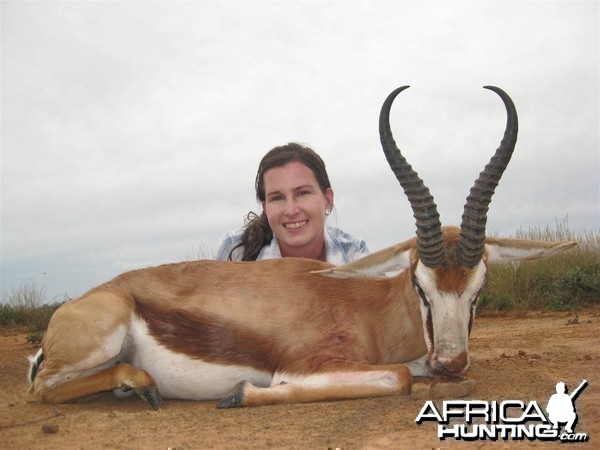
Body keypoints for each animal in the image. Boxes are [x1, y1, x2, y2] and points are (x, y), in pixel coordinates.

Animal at [27, 85, 576, 408]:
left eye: (479, 288)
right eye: (419, 284)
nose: (450, 362)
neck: (369, 311)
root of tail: (86, 301)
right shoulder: (306, 367)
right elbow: (400, 377)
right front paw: (240, 392)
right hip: (100, 340)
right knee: (40, 388)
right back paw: (138, 386)